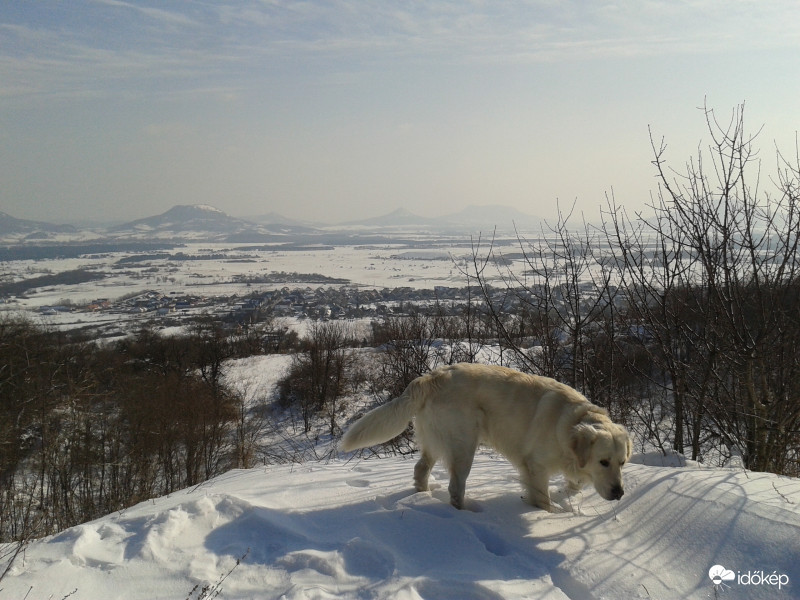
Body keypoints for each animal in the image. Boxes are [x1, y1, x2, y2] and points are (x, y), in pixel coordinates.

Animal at [340, 360, 632, 510]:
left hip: (435, 440)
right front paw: (546, 515)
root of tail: (431, 377)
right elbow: (542, 498)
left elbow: (574, 484)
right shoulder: (535, 465)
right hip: (463, 446)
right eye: (603, 461)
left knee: (420, 468)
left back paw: (422, 495)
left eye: (622, 463)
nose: (619, 493)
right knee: (455, 487)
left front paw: (568, 496)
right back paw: (465, 512)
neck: (569, 423)